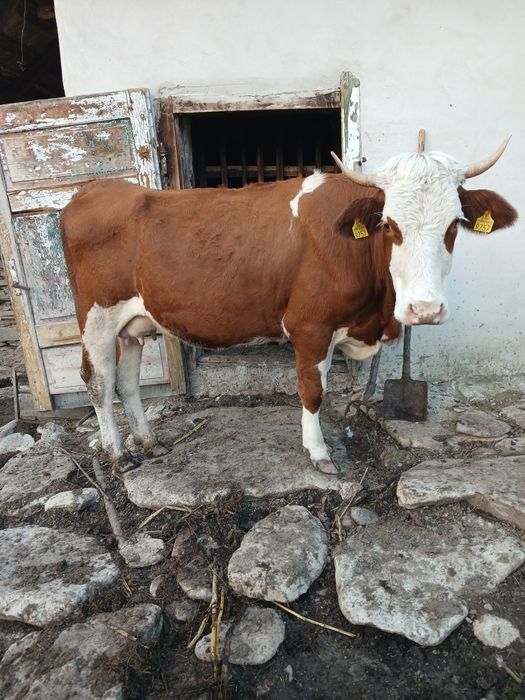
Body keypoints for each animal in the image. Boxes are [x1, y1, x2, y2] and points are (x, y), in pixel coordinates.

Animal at [60, 138, 517, 476]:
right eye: (389, 224)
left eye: (454, 224)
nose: (425, 310)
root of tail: (98, 187)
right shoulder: (310, 325)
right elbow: (313, 391)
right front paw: (319, 453)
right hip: (96, 317)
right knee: (98, 381)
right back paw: (119, 454)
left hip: (132, 324)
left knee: (127, 382)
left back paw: (149, 442)